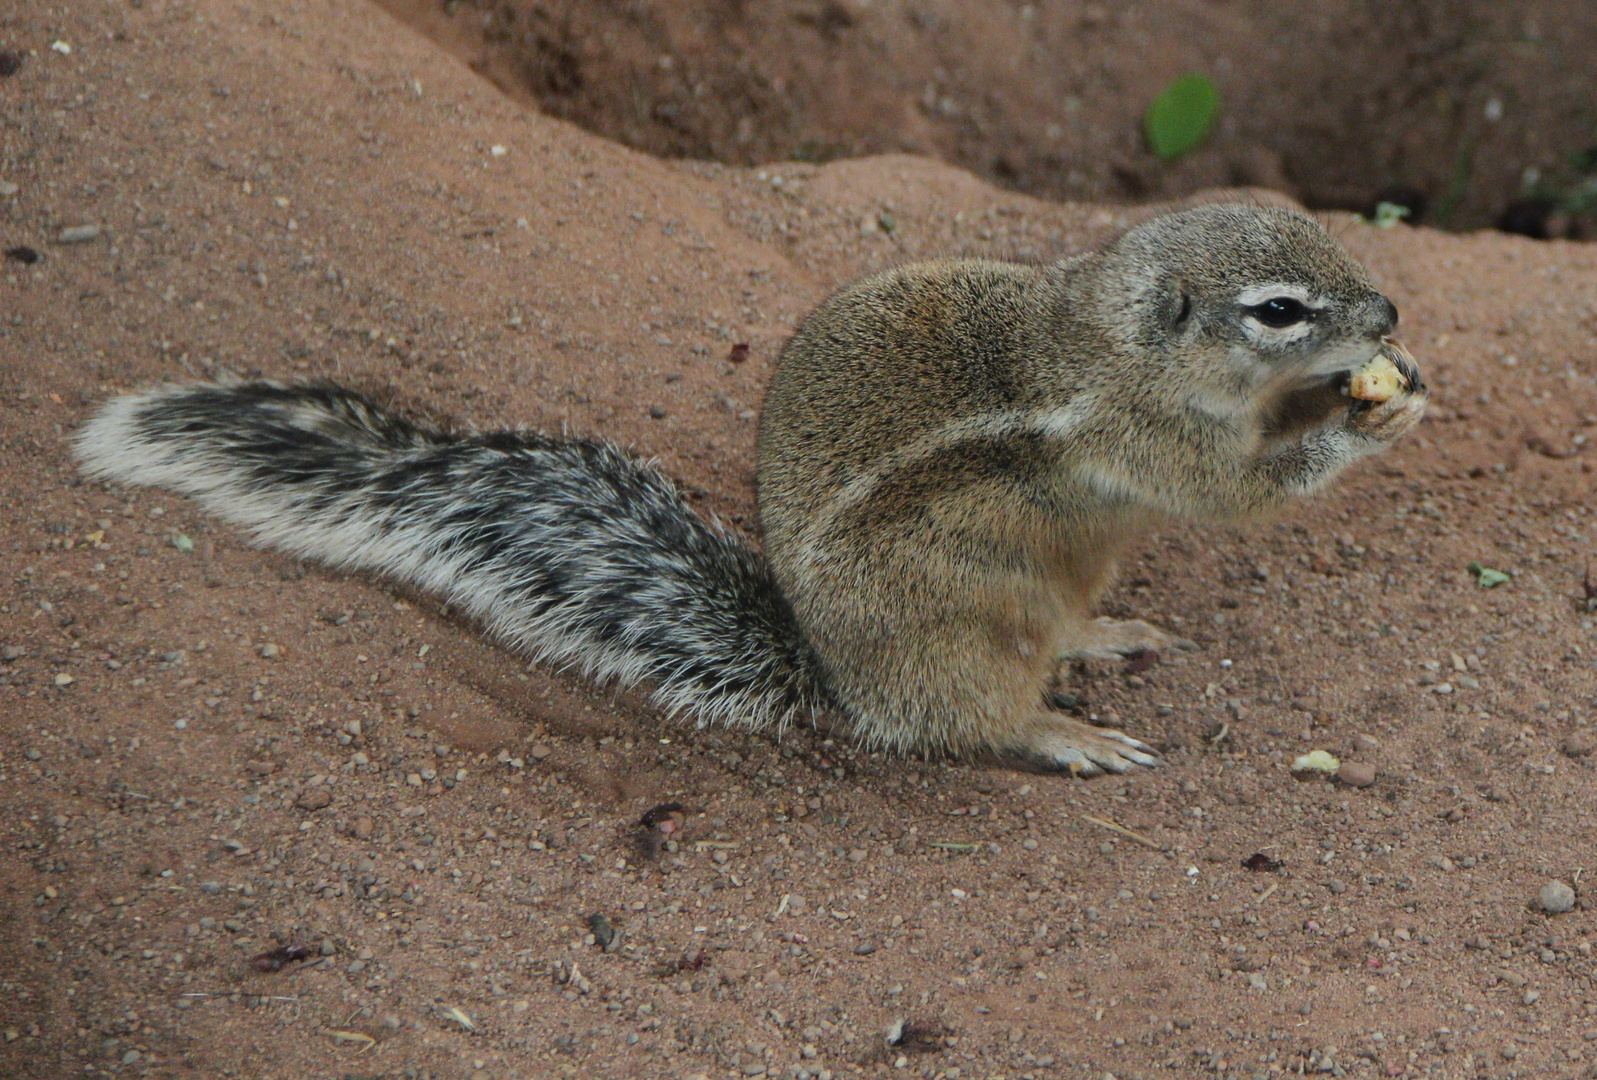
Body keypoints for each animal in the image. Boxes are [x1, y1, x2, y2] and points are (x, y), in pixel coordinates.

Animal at [71, 202, 1424, 776]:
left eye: (1323, 235)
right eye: (1278, 308)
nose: (1391, 314)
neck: (1123, 341)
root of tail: (831, 673)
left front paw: (1384, 385)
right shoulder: (1155, 442)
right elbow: (1238, 494)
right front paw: (1367, 420)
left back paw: (1109, 634)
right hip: (963, 635)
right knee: (968, 723)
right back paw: (1063, 732)